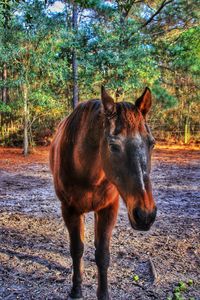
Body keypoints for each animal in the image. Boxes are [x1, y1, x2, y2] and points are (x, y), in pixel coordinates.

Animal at [49, 86, 156, 300]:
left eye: (152, 143)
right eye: (113, 146)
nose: (145, 215)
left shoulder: (108, 209)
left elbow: (102, 254)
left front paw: (103, 293)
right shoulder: (70, 210)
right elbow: (77, 249)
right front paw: (76, 290)